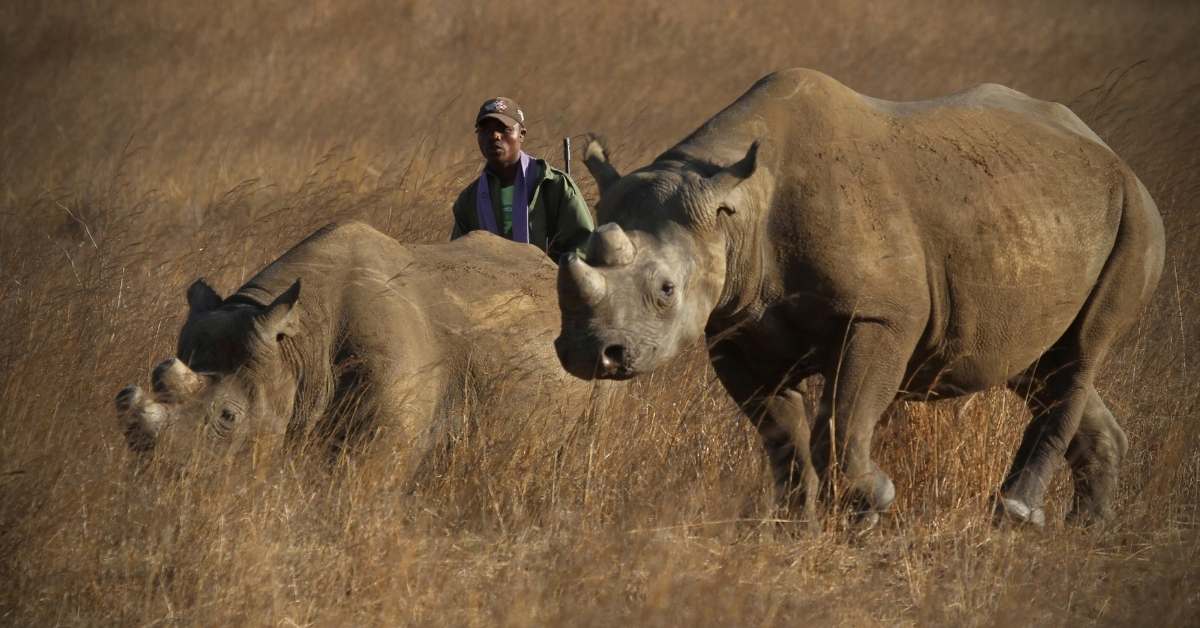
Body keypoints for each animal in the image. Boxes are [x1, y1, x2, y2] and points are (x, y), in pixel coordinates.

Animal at [556, 68, 1166, 528]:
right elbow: (781, 433)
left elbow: (845, 418)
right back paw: (1084, 529)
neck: (736, 212)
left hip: (1135, 217)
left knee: (1081, 352)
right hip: (1041, 210)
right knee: (1036, 364)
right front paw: (793, 525)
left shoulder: (882, 316)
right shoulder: (734, 325)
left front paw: (869, 505)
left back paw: (1017, 514)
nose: (591, 352)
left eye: (666, 291)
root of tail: (1108, 149)